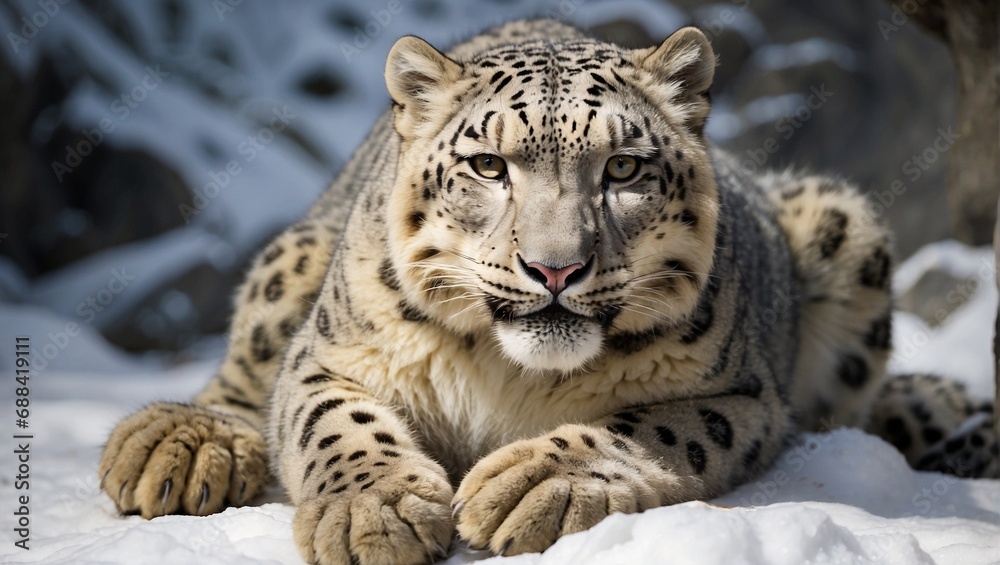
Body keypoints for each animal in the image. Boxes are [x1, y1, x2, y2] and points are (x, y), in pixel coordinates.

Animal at [98, 19, 998, 565]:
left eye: (624, 167)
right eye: (488, 165)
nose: (556, 268)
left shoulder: (741, 394)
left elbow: (663, 428)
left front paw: (536, 482)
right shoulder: (329, 355)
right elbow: (334, 423)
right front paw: (375, 512)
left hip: (844, 229)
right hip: (296, 256)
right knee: (238, 380)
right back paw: (179, 443)